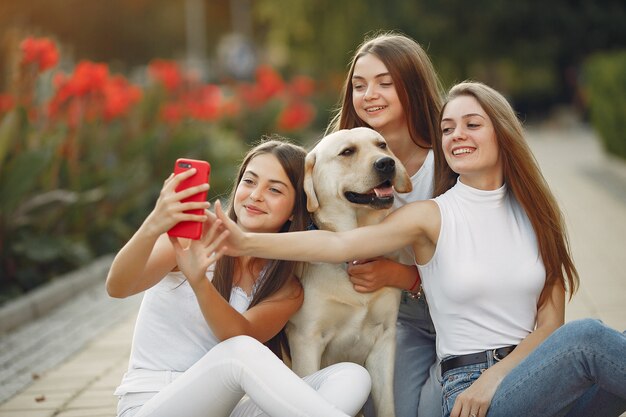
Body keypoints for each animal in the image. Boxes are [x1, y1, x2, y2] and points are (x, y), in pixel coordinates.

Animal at [286, 127, 412, 416]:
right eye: (347, 152)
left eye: (382, 145)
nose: (386, 163)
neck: (354, 245)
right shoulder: (306, 341)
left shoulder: (384, 339)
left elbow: (386, 404)